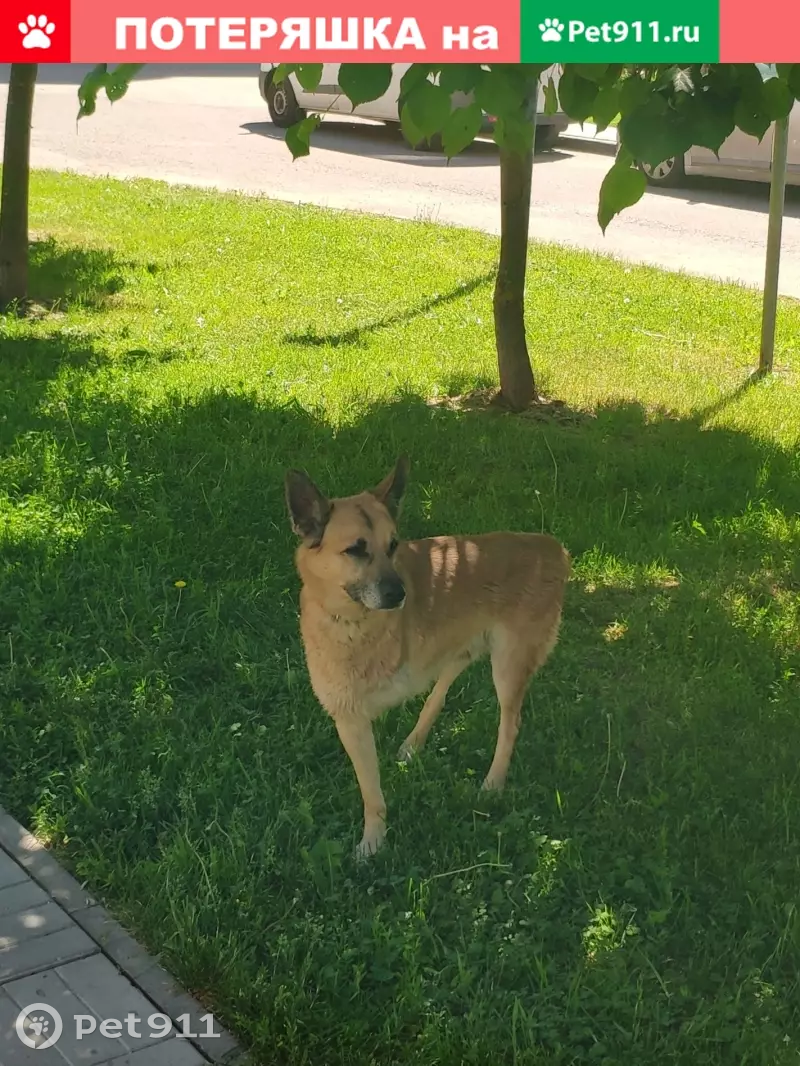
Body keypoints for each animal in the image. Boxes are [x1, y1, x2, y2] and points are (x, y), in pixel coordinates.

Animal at [285, 458, 571, 857]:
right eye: (355, 550)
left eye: (393, 545)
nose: (400, 594)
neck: (348, 619)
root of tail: (551, 547)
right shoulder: (352, 717)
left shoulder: (353, 719)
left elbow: (372, 795)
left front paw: (373, 843)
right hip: (462, 648)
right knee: (442, 690)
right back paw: (413, 743)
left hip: (508, 666)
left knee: (510, 723)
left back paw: (492, 784)